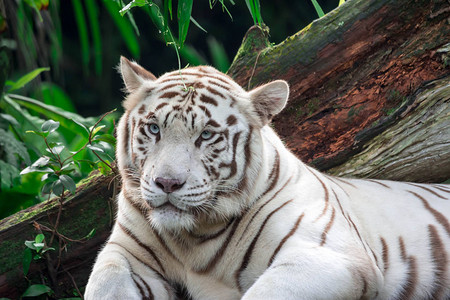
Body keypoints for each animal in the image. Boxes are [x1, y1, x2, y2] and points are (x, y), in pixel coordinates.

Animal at [85, 56, 450, 300]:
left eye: (206, 135)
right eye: (153, 128)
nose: (167, 184)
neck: (193, 240)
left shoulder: (333, 256)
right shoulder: (123, 251)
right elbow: (105, 283)